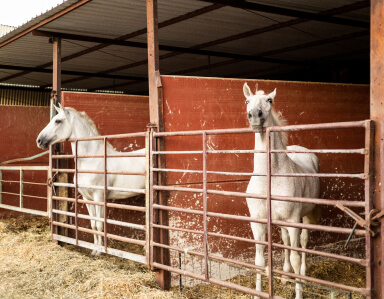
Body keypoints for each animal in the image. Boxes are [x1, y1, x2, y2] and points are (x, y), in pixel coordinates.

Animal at [36, 105, 146, 255]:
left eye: (58, 121)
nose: (39, 140)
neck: (91, 159)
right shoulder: (87, 198)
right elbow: (93, 224)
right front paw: (94, 250)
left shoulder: (99, 198)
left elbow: (99, 224)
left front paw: (100, 251)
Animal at [243, 83, 320, 299]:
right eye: (247, 101)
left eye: (269, 100)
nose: (255, 115)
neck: (270, 177)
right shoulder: (258, 222)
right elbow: (259, 261)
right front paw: (258, 293)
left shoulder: (293, 221)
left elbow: (295, 256)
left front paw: (299, 292)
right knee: (285, 242)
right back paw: (286, 276)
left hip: (307, 215)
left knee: (303, 243)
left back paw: (303, 275)